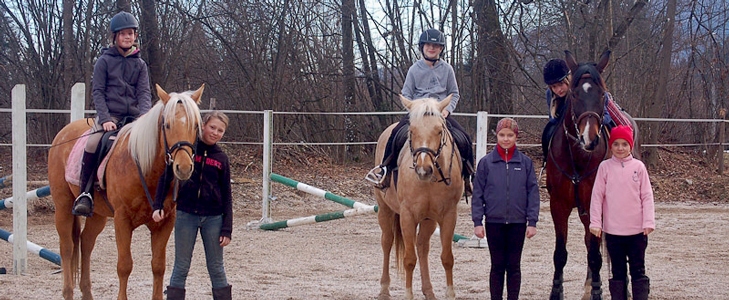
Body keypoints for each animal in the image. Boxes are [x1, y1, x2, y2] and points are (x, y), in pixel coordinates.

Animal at [48, 84, 203, 300]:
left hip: (98, 215)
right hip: (63, 206)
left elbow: (158, 266)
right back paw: (68, 291)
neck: (145, 169)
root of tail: (63, 134)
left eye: (195, 126)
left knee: (86, 243)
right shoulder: (122, 220)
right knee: (68, 247)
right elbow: (124, 266)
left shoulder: (165, 222)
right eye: (167, 125)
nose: (184, 167)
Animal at [372, 95, 464, 300]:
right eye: (412, 131)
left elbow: (447, 258)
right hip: (384, 209)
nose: (424, 169)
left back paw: (428, 291)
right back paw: (384, 289)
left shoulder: (448, 215)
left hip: (429, 218)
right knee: (386, 242)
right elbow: (409, 260)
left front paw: (450, 294)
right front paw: (408, 294)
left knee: (422, 246)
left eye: (439, 131)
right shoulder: (407, 216)